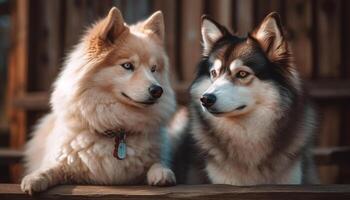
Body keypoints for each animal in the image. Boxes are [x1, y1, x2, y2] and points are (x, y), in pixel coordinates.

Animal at [20, 7, 176, 195]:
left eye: (153, 69)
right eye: (127, 66)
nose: (157, 90)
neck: (116, 129)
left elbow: (157, 163)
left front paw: (163, 173)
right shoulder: (63, 159)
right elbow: (50, 168)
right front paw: (34, 178)